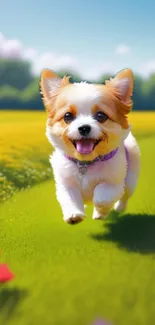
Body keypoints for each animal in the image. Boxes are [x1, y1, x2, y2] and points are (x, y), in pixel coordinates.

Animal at [40, 67, 140, 224]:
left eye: (101, 116)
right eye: (67, 116)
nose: (84, 127)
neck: (86, 163)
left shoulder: (115, 184)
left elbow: (102, 195)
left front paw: (100, 208)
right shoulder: (65, 184)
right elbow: (70, 198)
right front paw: (74, 214)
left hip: (130, 181)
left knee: (124, 196)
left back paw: (115, 209)